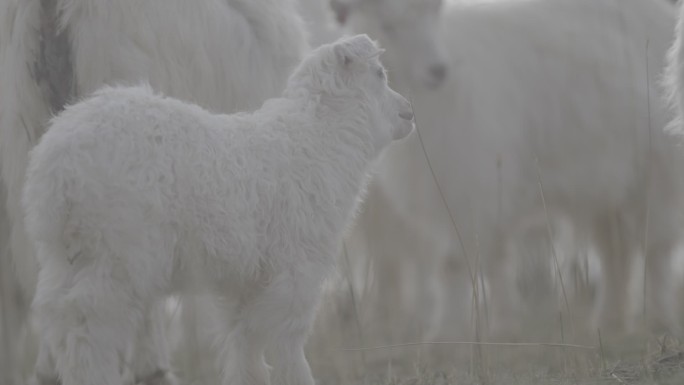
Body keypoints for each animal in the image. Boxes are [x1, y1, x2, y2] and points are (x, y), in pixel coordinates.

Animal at [22, 34, 412, 384]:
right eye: (379, 73)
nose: (409, 112)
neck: (317, 138)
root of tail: (58, 164)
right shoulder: (296, 269)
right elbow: (285, 340)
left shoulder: (249, 281)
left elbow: (245, 342)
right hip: (116, 251)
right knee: (89, 328)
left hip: (64, 254)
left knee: (57, 318)